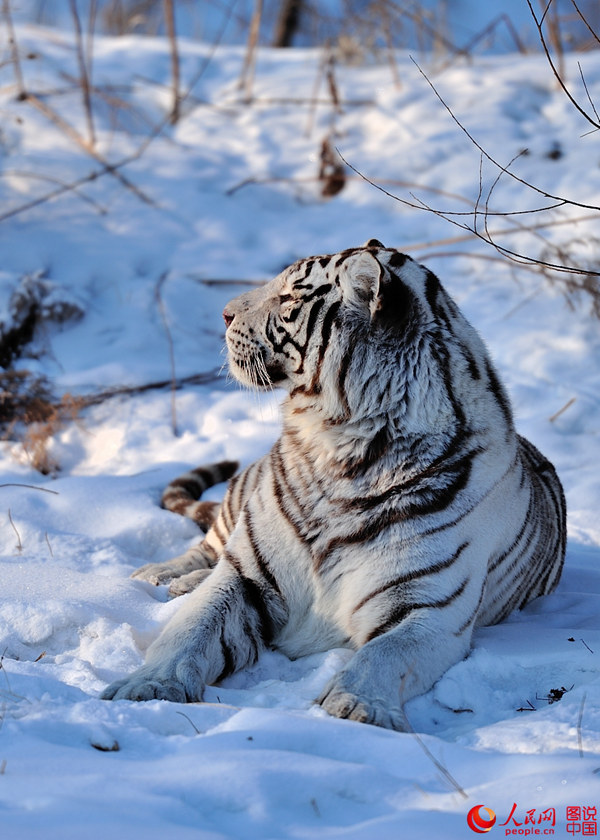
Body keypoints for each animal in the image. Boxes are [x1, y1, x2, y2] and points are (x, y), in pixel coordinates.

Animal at [101, 238, 564, 728]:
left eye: (287, 297)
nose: (223, 313)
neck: (342, 453)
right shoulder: (247, 577)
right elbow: (190, 629)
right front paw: (147, 686)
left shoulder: (430, 608)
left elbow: (386, 653)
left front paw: (358, 708)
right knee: (208, 546)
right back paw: (163, 576)